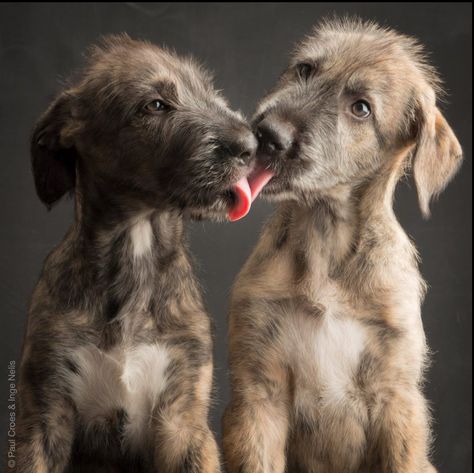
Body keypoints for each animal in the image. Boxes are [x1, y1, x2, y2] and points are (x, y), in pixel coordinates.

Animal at [14, 35, 268, 470]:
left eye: (210, 91)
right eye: (155, 105)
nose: (251, 147)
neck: (136, 247)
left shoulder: (184, 417)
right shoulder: (44, 415)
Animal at [223, 18, 462, 472]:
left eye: (361, 108)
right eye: (305, 69)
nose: (268, 134)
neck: (325, 237)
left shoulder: (396, 396)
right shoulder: (259, 389)